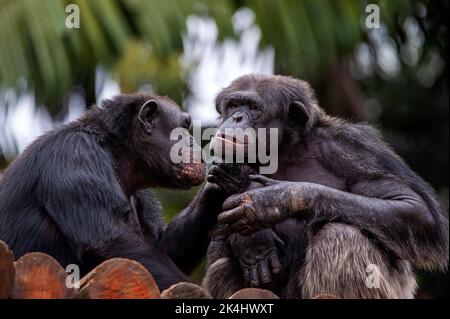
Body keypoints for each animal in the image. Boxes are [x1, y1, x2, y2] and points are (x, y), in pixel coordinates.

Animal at [0, 94, 225, 292]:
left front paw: (217, 188)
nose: (192, 141)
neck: (117, 154)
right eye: (183, 127)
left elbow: (164, 246)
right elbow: (108, 239)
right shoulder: (76, 155)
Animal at [203, 75, 446, 300]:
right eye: (233, 105)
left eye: (253, 108)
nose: (236, 117)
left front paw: (274, 200)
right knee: (220, 264)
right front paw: (254, 243)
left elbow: (413, 207)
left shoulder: (355, 150)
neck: (285, 151)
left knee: (341, 235)